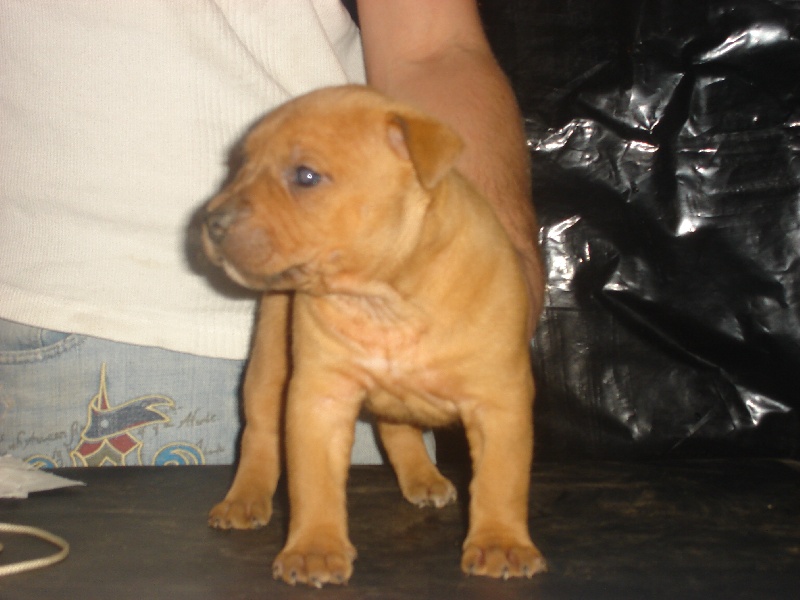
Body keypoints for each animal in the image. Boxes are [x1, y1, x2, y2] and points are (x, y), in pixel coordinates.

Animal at [202, 85, 545, 587]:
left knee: (396, 427)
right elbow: (313, 484)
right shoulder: (319, 399)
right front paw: (315, 549)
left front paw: (501, 542)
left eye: (306, 176)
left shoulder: (499, 402)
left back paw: (423, 478)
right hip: (268, 364)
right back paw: (244, 498)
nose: (211, 221)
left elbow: (500, 479)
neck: (384, 299)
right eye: (240, 166)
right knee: (260, 432)